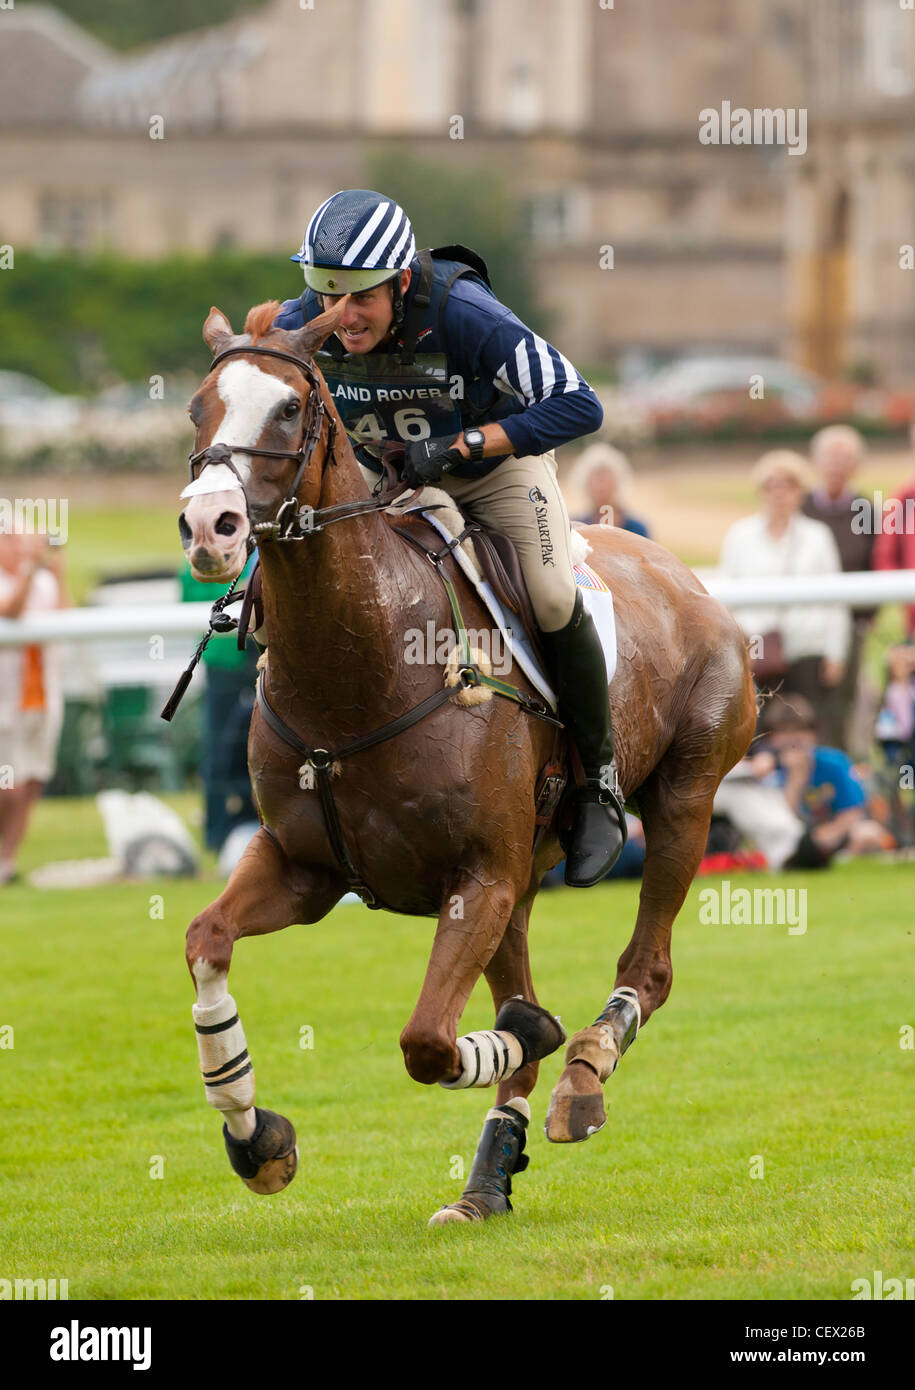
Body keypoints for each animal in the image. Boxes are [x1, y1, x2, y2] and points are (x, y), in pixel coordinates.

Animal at [177, 296, 756, 1228]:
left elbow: (428, 1042)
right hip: (522, 880)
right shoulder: (305, 869)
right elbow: (206, 941)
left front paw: (542, 1037)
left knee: (646, 970)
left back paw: (586, 1067)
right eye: (198, 408)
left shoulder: (477, 876)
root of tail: (683, 576)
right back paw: (486, 1181)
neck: (360, 669)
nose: (208, 526)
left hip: (683, 801)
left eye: (290, 409)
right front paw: (254, 1134)